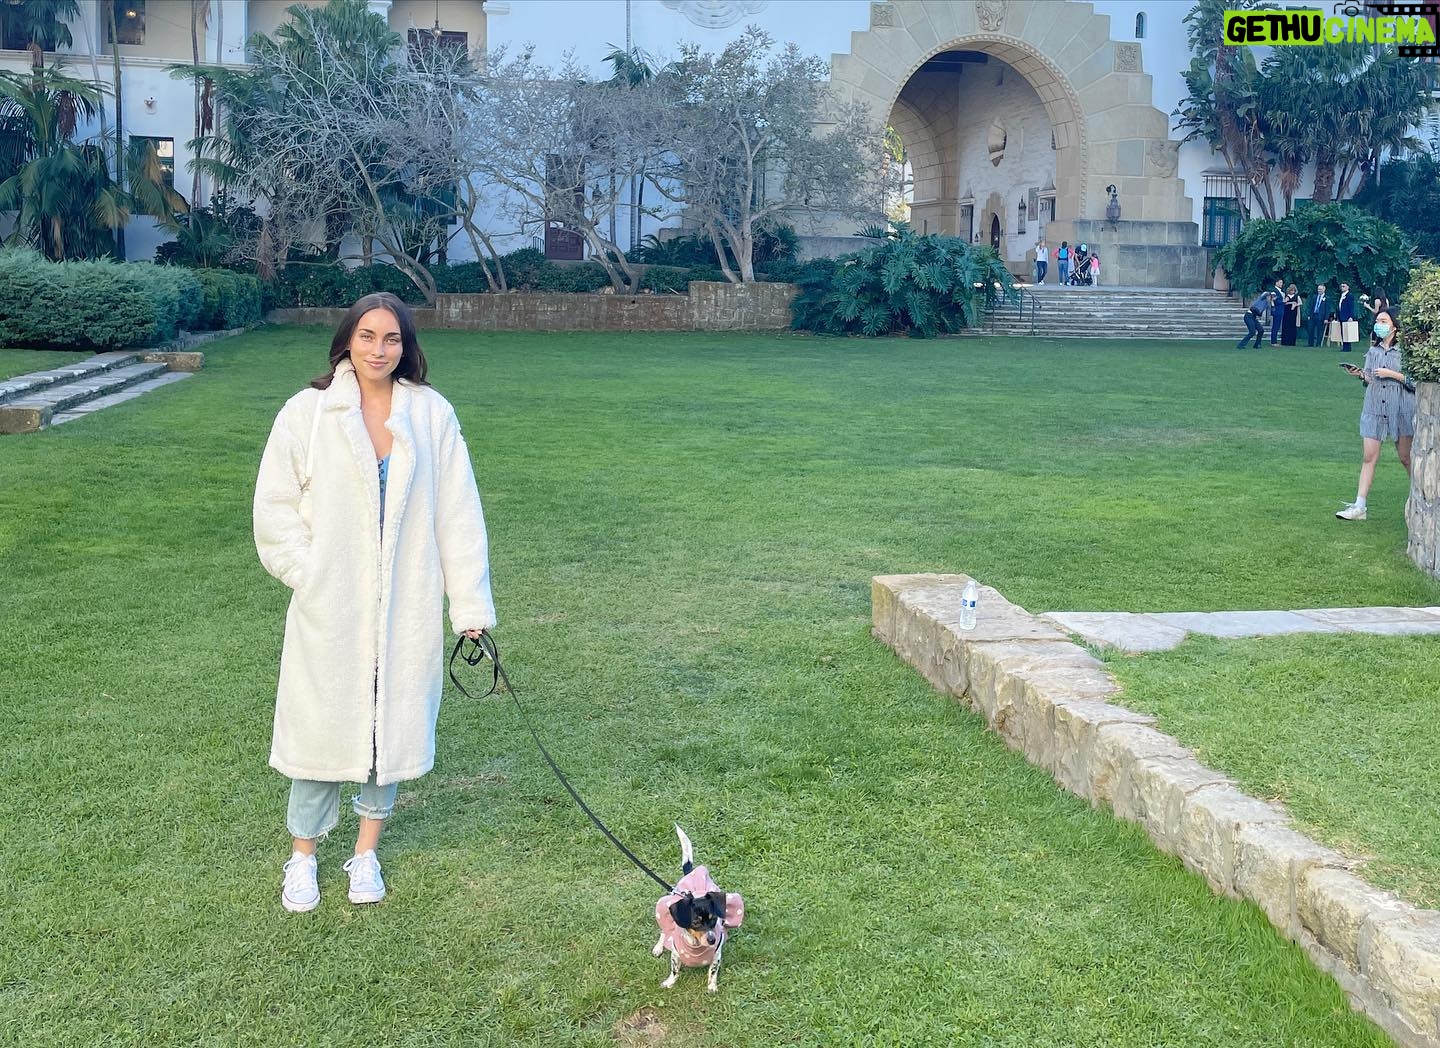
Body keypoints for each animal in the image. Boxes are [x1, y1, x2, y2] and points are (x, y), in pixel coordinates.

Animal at [652, 825, 744, 992]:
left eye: (714, 919)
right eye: (695, 922)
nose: (712, 940)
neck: (696, 945)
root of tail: (691, 873)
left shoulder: (716, 956)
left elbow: (713, 970)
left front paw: (712, 986)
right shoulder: (675, 954)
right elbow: (674, 970)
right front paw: (669, 983)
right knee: (664, 931)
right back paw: (658, 947)